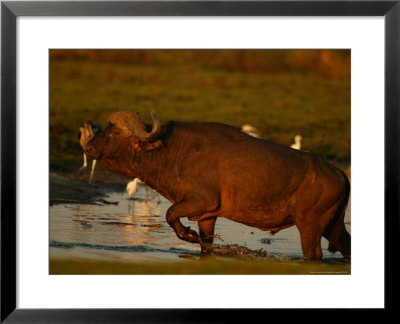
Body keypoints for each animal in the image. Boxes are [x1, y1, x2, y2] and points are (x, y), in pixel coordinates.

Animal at [85, 111, 350, 260]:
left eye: (115, 131)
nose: (87, 147)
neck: (172, 151)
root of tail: (337, 172)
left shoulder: (201, 200)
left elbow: (170, 214)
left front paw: (188, 235)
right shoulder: (207, 215)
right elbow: (206, 244)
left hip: (310, 226)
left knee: (313, 255)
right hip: (330, 226)